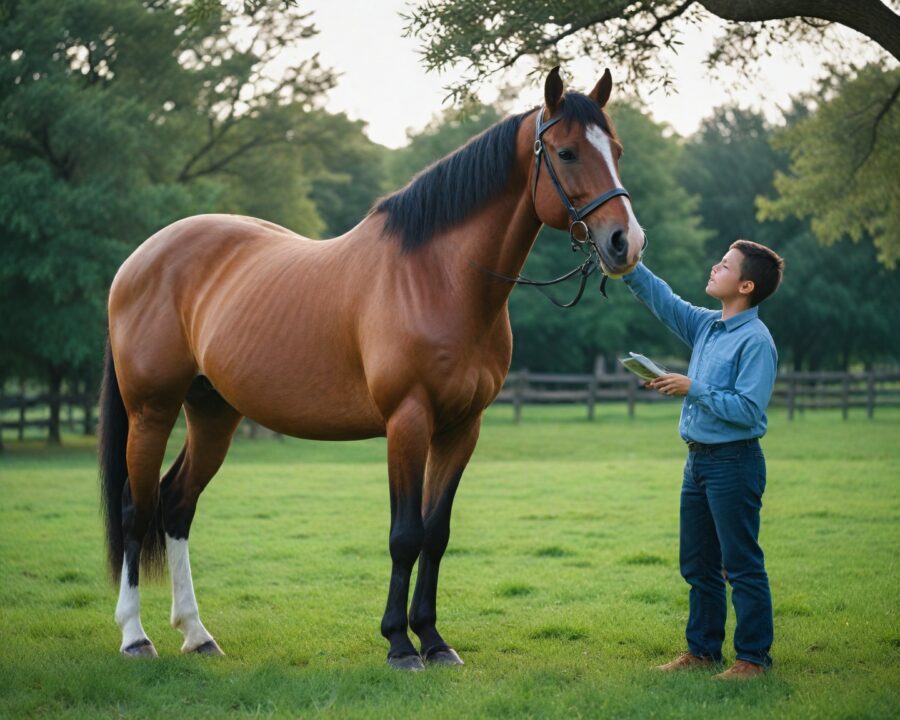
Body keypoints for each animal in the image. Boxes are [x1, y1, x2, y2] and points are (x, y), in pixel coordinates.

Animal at [98, 66, 645, 670]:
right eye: (567, 152)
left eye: (616, 150)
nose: (626, 242)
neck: (440, 278)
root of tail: (138, 260)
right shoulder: (407, 422)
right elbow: (404, 534)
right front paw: (400, 644)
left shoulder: (461, 428)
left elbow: (436, 534)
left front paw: (434, 640)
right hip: (152, 410)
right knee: (135, 509)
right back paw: (135, 636)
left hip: (213, 413)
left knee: (176, 506)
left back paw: (197, 634)